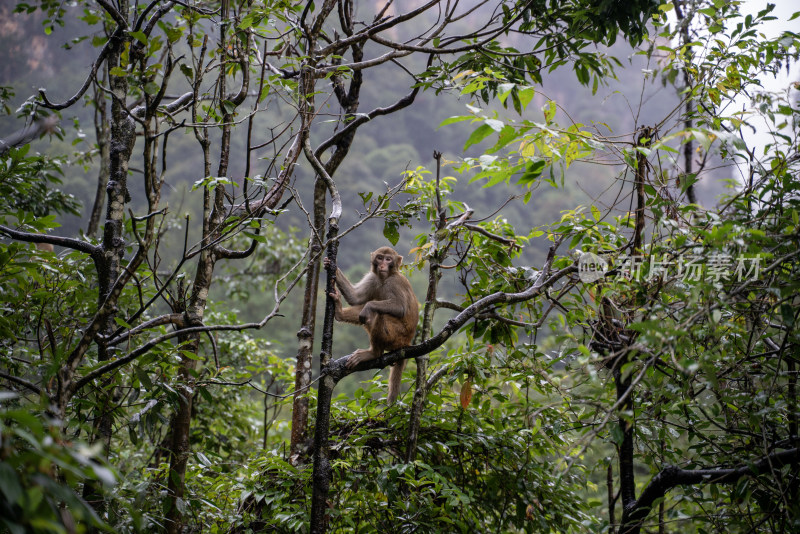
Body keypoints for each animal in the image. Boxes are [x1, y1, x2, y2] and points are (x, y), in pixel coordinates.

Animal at [324, 248, 418, 406]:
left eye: (388, 259)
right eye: (380, 258)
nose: (382, 265)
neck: (384, 278)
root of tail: (407, 342)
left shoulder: (395, 283)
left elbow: (399, 307)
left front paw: (368, 307)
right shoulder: (373, 278)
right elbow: (356, 298)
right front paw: (331, 265)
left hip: (397, 336)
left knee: (380, 314)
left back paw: (374, 353)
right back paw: (339, 313)